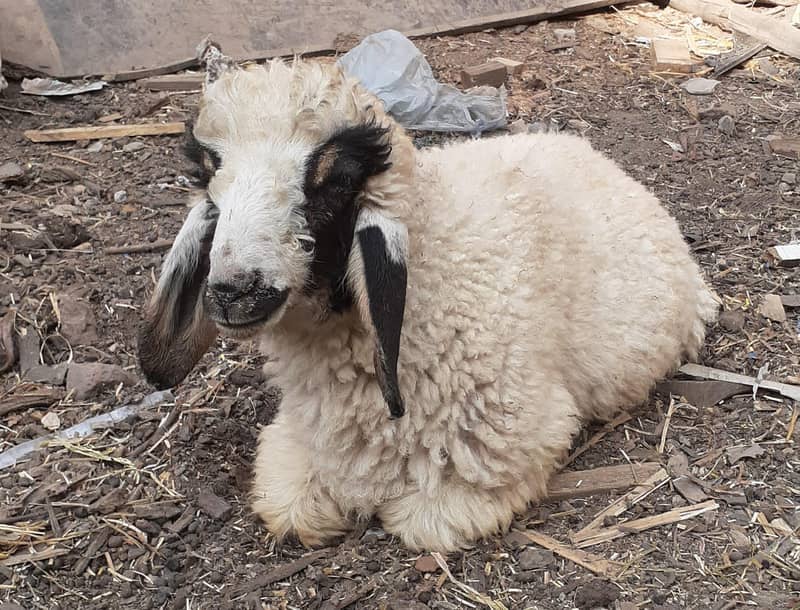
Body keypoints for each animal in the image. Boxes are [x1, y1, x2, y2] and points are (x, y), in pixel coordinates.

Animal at [137, 41, 719, 553]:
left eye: (334, 178)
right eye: (209, 175)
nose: (233, 290)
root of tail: (589, 152)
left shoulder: (504, 451)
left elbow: (425, 521)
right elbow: (290, 505)